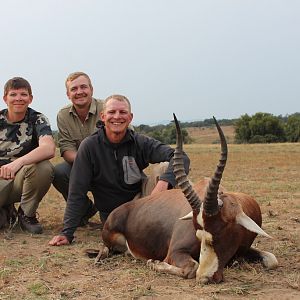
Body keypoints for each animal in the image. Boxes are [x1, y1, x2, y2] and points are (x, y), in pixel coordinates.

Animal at [95, 115, 278, 284]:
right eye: (199, 235)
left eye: (221, 233)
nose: (205, 278)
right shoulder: (175, 252)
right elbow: (192, 267)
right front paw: (154, 263)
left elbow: (272, 260)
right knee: (107, 248)